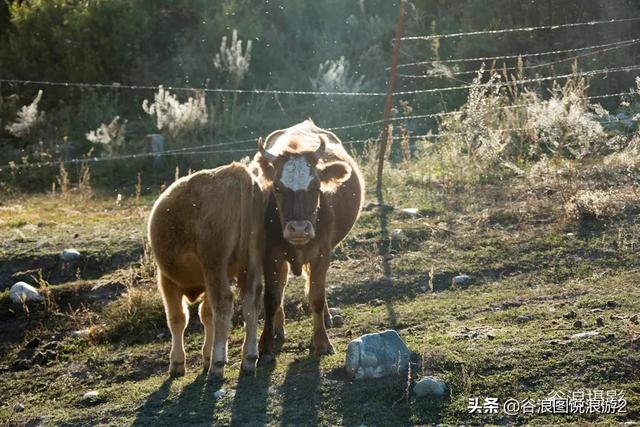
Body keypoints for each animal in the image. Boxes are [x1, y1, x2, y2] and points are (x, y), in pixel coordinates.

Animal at [148, 163, 264, 378]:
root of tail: (234, 170)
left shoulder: (167, 280)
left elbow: (177, 318)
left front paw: (177, 363)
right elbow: (207, 315)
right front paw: (206, 356)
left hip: (214, 262)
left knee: (224, 302)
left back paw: (218, 363)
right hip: (251, 258)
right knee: (251, 301)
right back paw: (249, 358)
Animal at [251, 120, 364, 362]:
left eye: (316, 187)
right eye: (277, 188)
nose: (299, 228)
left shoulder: (322, 253)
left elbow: (316, 297)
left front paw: (322, 342)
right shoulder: (271, 255)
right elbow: (272, 298)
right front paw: (265, 346)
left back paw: (327, 318)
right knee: (281, 288)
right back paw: (278, 328)